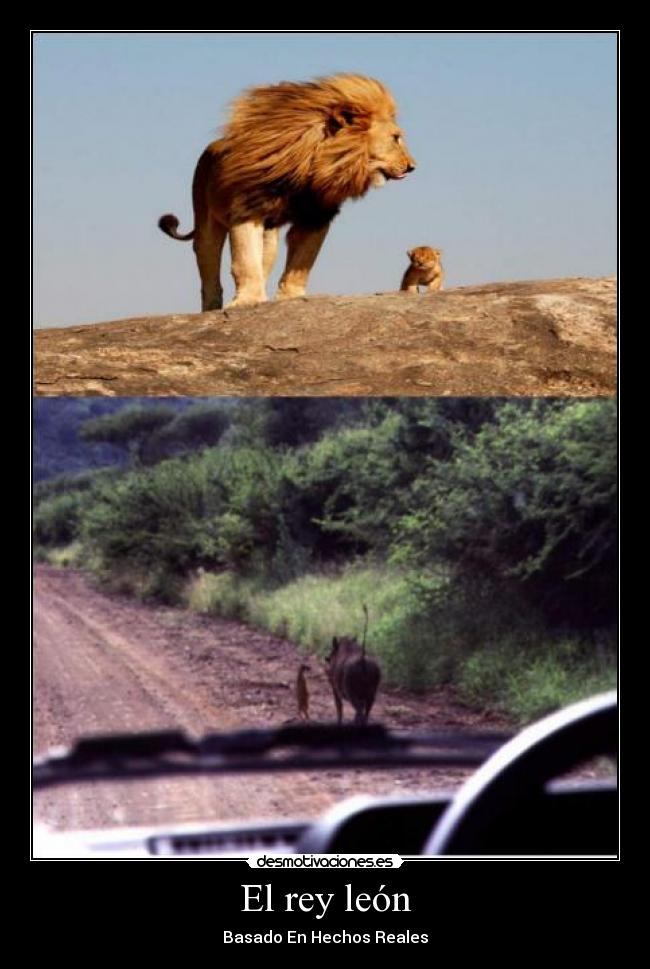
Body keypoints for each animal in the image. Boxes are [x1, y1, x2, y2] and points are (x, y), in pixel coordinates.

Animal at [158, 74, 416, 310]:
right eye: (396, 138)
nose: (413, 167)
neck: (314, 166)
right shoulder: (247, 209)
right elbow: (245, 260)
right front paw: (247, 301)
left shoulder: (316, 216)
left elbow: (302, 261)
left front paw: (291, 298)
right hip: (206, 222)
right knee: (209, 268)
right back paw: (212, 308)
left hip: (270, 237)